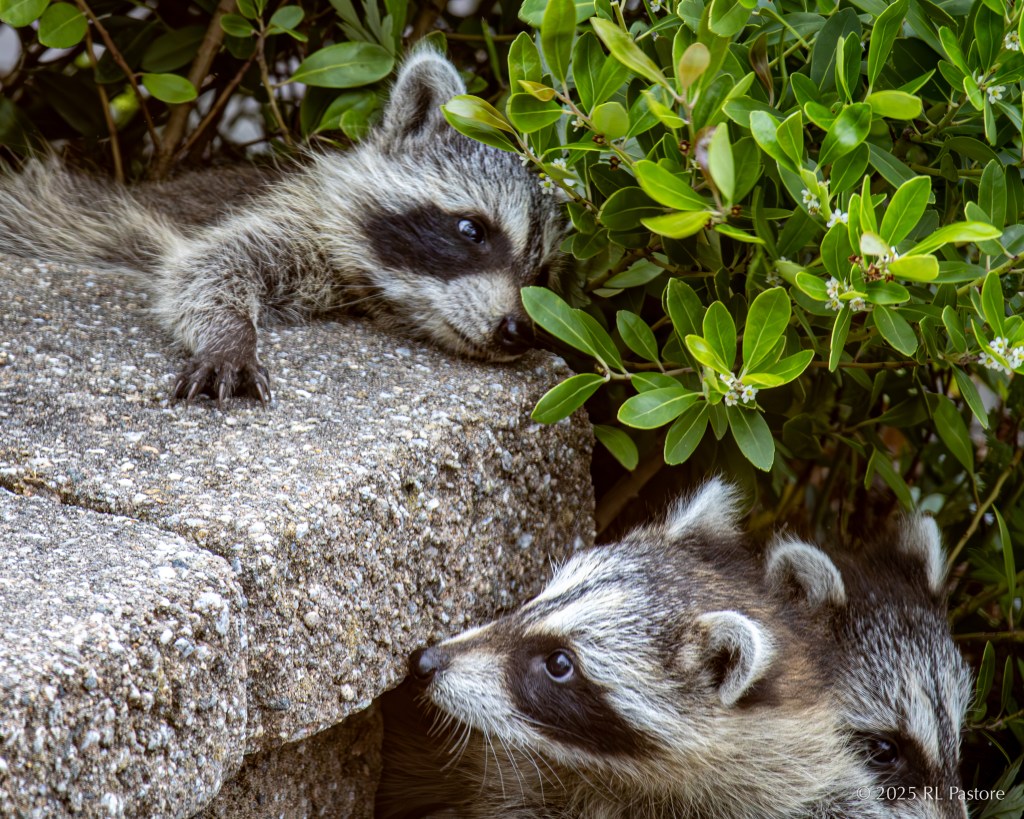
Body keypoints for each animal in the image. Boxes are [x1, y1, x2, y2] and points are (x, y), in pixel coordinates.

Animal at [0, 48, 566, 403]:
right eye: (472, 231)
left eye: (540, 275)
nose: (518, 329)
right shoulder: (287, 219)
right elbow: (206, 267)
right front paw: (230, 337)